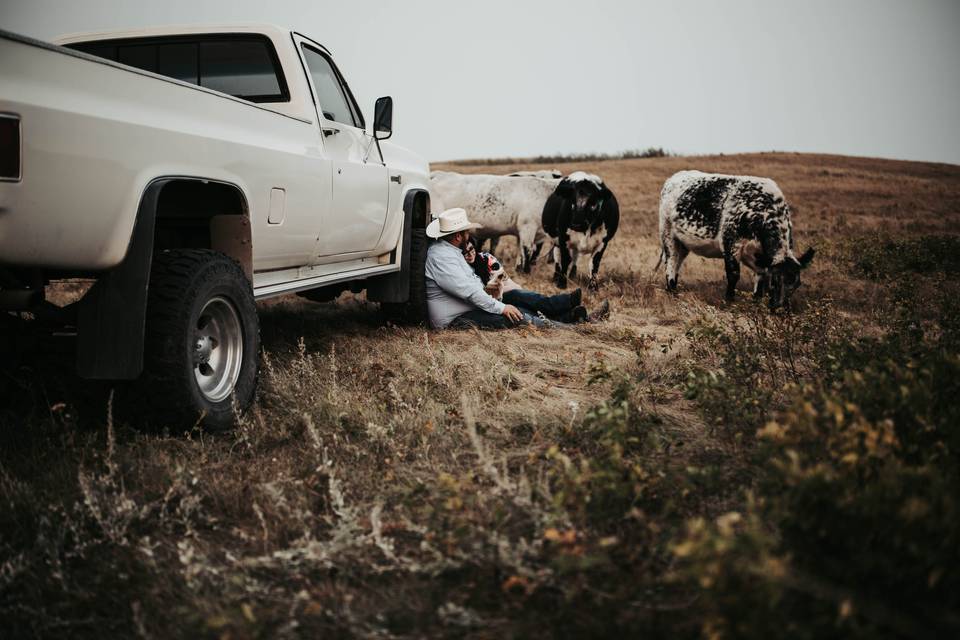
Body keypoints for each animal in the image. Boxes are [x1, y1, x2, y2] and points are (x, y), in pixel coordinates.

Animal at [660, 170, 816, 310]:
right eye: (774, 281)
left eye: (797, 284)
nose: (781, 309)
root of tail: (674, 178)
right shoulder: (730, 245)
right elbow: (733, 275)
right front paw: (729, 301)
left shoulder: (759, 257)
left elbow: (760, 278)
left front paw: (756, 303)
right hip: (668, 234)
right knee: (671, 262)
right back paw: (672, 291)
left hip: (683, 244)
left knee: (677, 263)